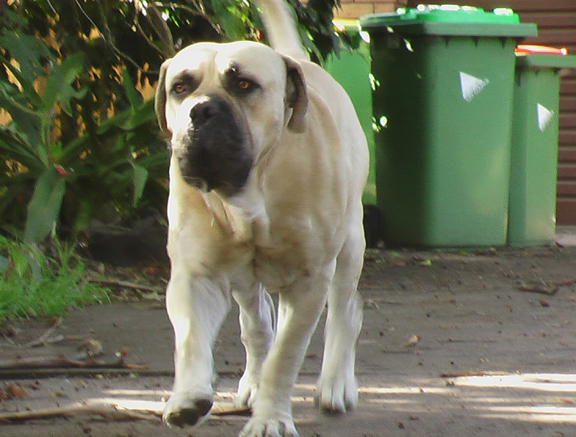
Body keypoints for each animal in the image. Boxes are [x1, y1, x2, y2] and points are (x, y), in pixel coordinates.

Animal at [153, 0, 368, 432]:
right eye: (180, 88)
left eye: (243, 85)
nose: (200, 110)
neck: (251, 189)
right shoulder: (196, 275)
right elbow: (191, 339)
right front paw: (188, 396)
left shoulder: (309, 281)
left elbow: (285, 356)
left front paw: (271, 420)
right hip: (244, 278)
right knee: (257, 324)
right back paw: (251, 381)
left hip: (350, 247)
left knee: (343, 312)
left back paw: (335, 383)